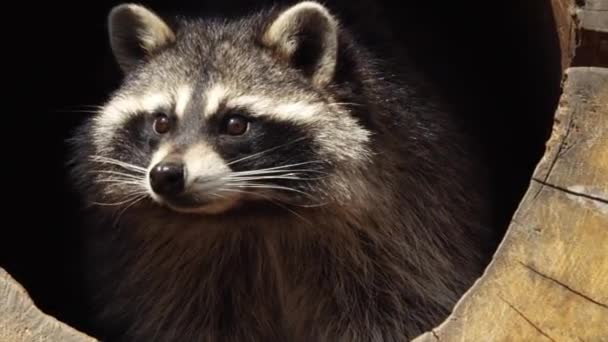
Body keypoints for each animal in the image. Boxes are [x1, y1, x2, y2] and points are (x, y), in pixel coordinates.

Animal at [69, 1, 494, 340]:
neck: (252, 214)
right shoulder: (159, 268)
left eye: (235, 124)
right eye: (161, 122)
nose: (166, 175)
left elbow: (397, 307)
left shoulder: (411, 227)